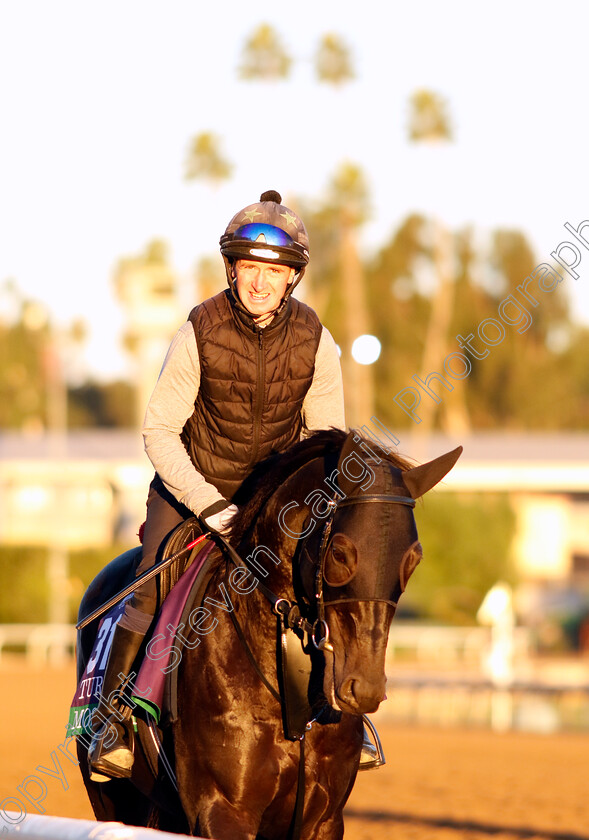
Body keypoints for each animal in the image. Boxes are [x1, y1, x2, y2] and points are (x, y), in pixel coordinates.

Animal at [74, 430, 460, 840]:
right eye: (340, 553)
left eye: (413, 558)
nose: (364, 688)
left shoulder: (323, 819)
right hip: (112, 799)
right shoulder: (223, 811)